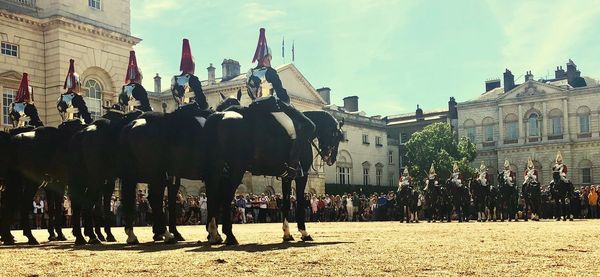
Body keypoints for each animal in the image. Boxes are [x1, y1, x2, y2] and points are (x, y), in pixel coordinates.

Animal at [203, 104, 342, 244]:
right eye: (337, 136)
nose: (331, 159)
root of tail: (220, 115)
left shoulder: (287, 177)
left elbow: (286, 203)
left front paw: (287, 233)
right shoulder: (302, 176)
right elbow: (300, 203)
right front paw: (304, 232)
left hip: (219, 169)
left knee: (214, 195)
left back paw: (214, 234)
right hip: (237, 169)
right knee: (225, 197)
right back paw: (229, 235)